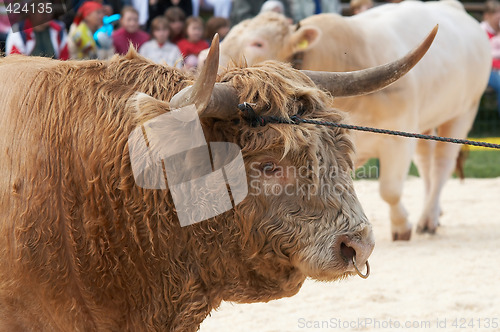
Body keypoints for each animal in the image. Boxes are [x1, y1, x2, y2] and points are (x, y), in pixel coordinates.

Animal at [217, 0, 490, 239]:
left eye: (258, 43)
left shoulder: (399, 137)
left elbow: (390, 190)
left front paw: (402, 226)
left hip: (464, 111)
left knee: (442, 162)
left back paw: (428, 219)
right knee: (426, 161)